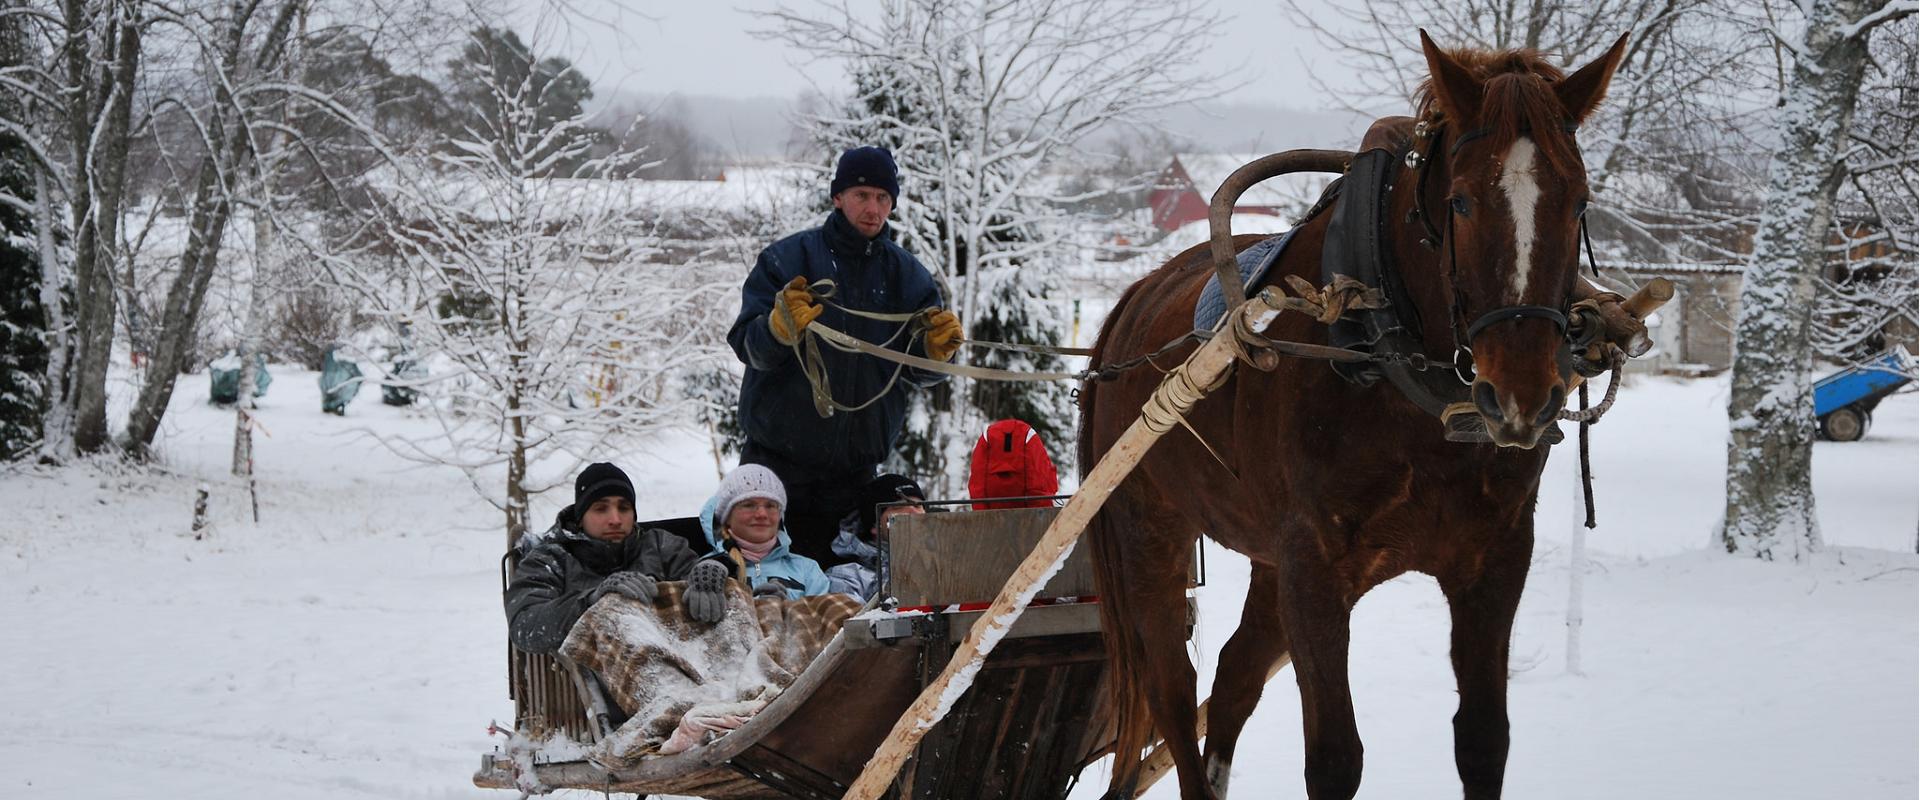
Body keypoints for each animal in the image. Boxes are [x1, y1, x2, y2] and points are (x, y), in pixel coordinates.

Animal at [1090, 31, 1628, 798]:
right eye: (1461, 203)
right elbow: (1335, 757)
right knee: (1173, 688)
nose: (1521, 395)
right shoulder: (1314, 570)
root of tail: (1132, 303)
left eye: (1579, 202)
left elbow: (1484, 740)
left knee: (1233, 675)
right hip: (1150, 532)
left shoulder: (1493, 561)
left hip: (1266, 559)